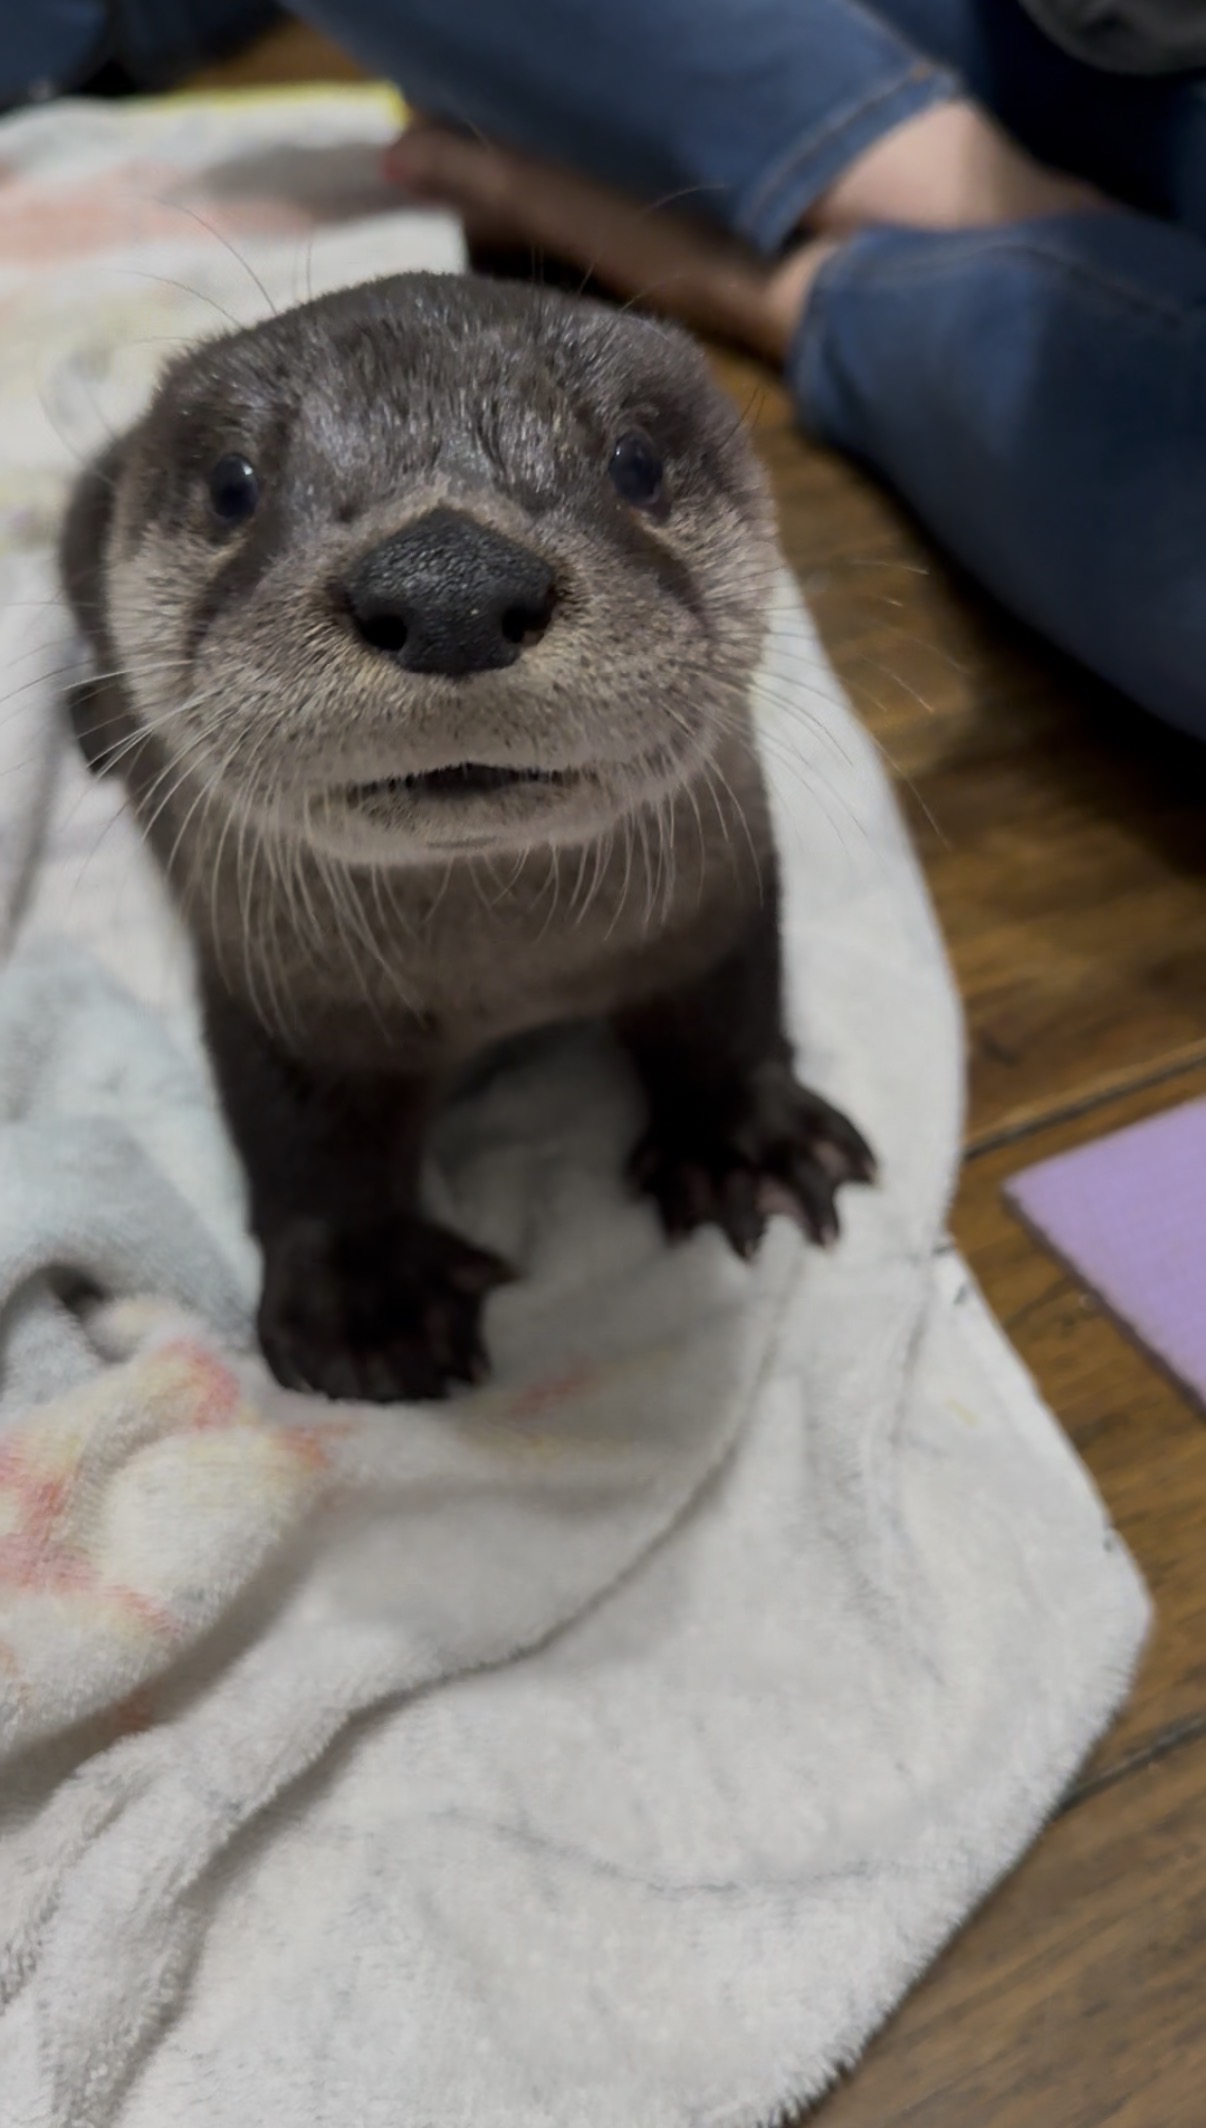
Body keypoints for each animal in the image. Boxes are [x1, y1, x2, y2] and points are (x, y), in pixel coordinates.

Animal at [59, 272, 873, 1402]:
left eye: (635, 462)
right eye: (233, 485)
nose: (449, 587)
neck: (507, 975)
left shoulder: (719, 893)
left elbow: (730, 1005)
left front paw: (741, 1141)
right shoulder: (276, 991)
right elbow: (303, 1139)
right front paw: (371, 1302)